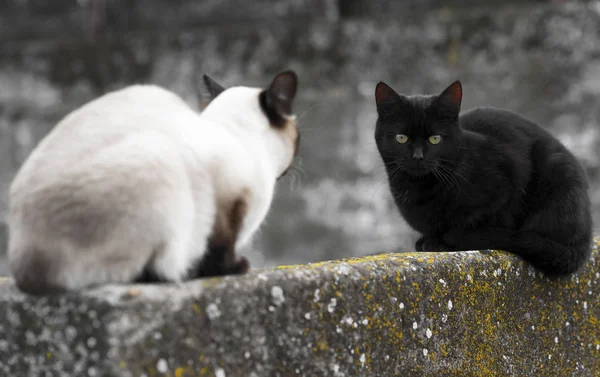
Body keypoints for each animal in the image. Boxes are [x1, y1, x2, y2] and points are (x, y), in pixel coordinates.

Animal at [8, 70, 300, 294]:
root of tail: (28, 272)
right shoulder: (227, 204)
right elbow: (218, 248)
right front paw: (235, 268)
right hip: (159, 163)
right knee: (148, 272)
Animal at [372, 81, 592, 274]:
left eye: (435, 139)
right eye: (401, 138)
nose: (418, 157)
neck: (419, 190)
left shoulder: (506, 182)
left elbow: (472, 218)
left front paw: (441, 241)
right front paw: (429, 239)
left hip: (556, 172)